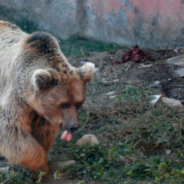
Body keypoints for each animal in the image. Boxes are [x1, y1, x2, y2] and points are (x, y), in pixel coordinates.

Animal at [0, 20, 95, 172]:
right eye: (63, 104)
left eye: (78, 102)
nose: (73, 126)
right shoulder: (16, 98)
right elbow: (12, 130)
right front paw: (40, 163)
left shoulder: (41, 112)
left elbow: (43, 132)